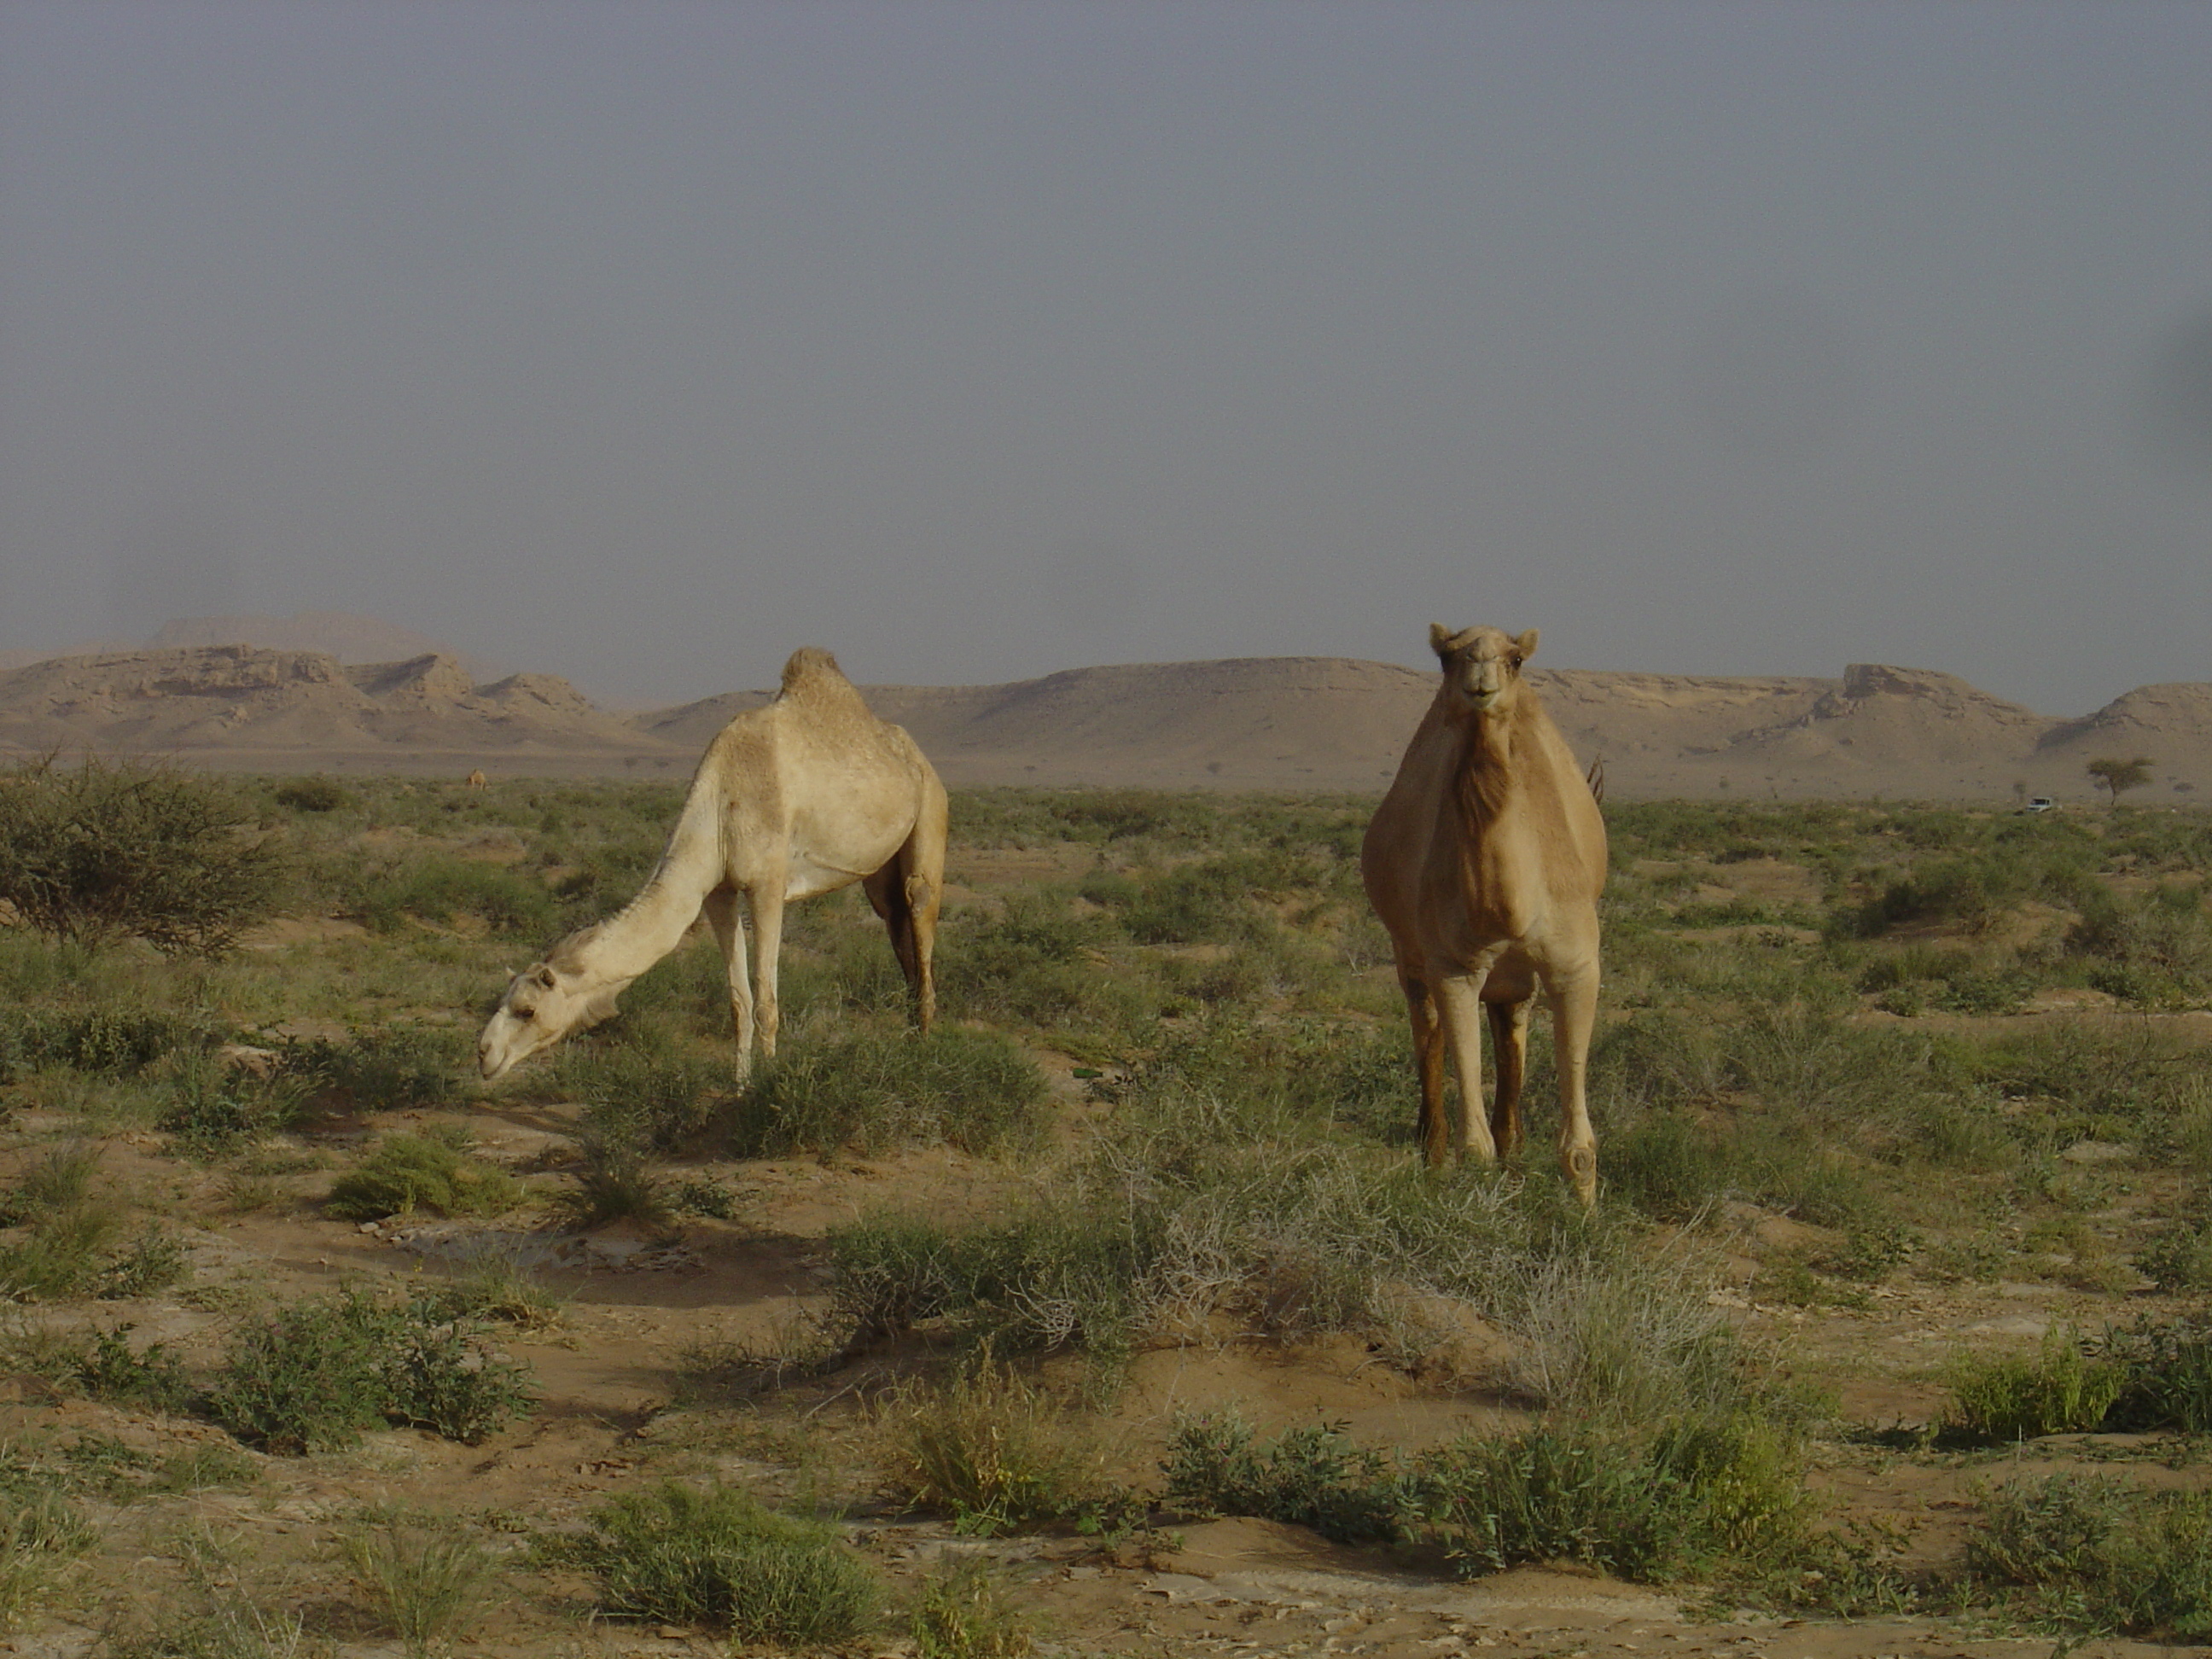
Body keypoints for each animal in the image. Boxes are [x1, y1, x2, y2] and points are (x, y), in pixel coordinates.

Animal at [475, 650, 942, 1092]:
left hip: (930, 814)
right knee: (896, 922)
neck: (718, 806)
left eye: (527, 1009)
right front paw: (739, 1084)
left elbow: (766, 1001)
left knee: (919, 913)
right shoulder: (718, 891)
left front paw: (767, 1085)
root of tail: (917, 758)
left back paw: (923, 1050)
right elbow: (738, 1001)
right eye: (502, 999)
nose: (483, 1053)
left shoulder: (768, 887)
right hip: (879, 875)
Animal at [1362, 623, 1610, 1212]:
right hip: (1410, 956)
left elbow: (1579, 1146)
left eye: (1515, 658)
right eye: (1447, 657)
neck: (1508, 907)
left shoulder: (1574, 966)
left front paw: (1586, 1219)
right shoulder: (1454, 968)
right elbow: (1474, 1145)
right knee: (1426, 1035)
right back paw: (1430, 1152)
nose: (1480, 673)